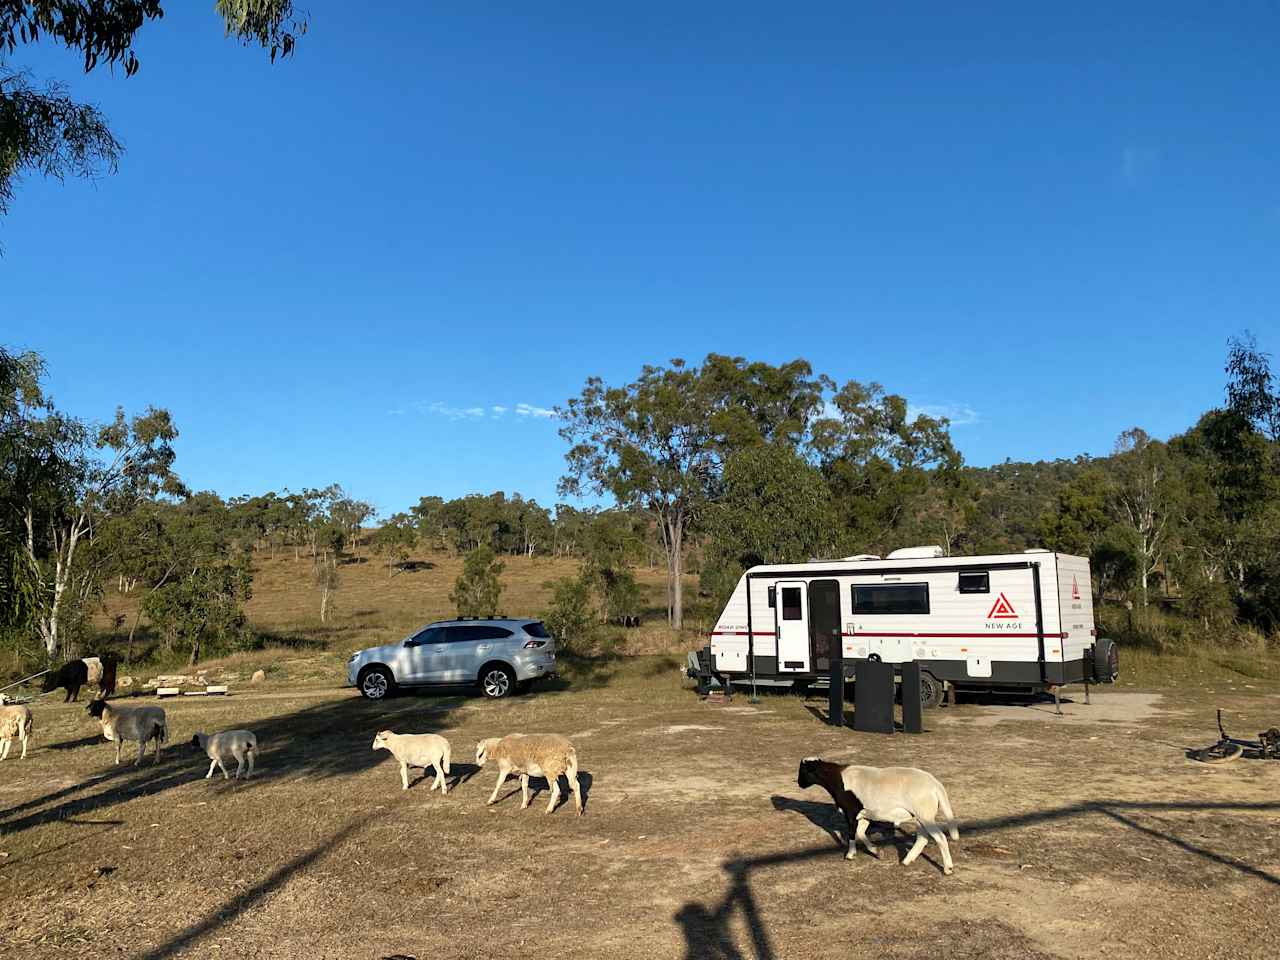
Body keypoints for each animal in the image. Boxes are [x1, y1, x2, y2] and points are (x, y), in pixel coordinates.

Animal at [829, 762, 962, 875]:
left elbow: (852, 832)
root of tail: (936, 785)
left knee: (940, 837)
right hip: (920, 816)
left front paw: (851, 854)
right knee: (922, 838)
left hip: (925, 815)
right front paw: (876, 852)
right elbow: (860, 832)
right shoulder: (864, 814)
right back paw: (906, 861)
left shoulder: (851, 812)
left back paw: (948, 869)